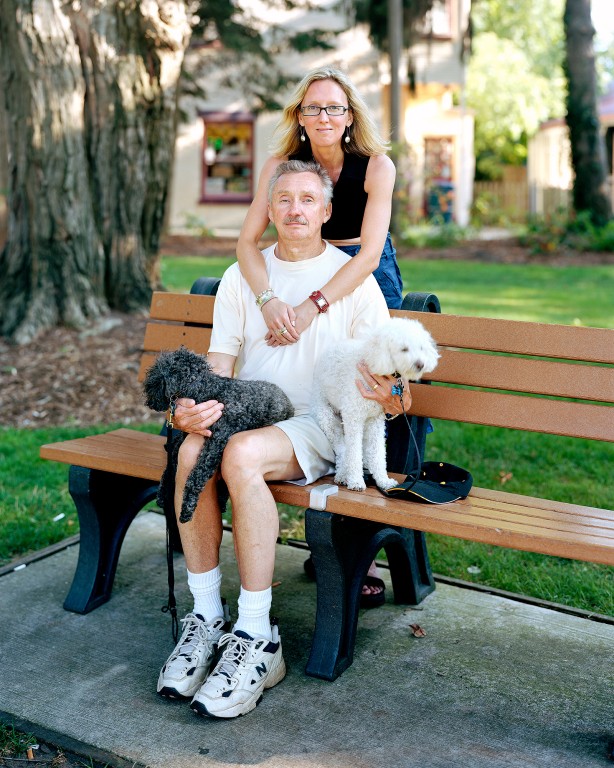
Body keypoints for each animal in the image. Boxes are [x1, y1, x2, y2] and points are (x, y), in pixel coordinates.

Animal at [147, 346, 296, 520]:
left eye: (157, 372)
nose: (149, 399)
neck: (207, 390)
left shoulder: (214, 445)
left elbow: (196, 476)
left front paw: (186, 508)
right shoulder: (185, 439)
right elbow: (170, 464)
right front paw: (162, 493)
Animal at [316, 316, 440, 492]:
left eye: (421, 348)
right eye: (404, 349)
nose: (420, 364)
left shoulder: (374, 420)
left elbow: (377, 453)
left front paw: (383, 480)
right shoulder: (354, 417)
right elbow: (354, 452)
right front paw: (356, 481)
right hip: (326, 417)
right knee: (342, 449)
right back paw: (343, 474)